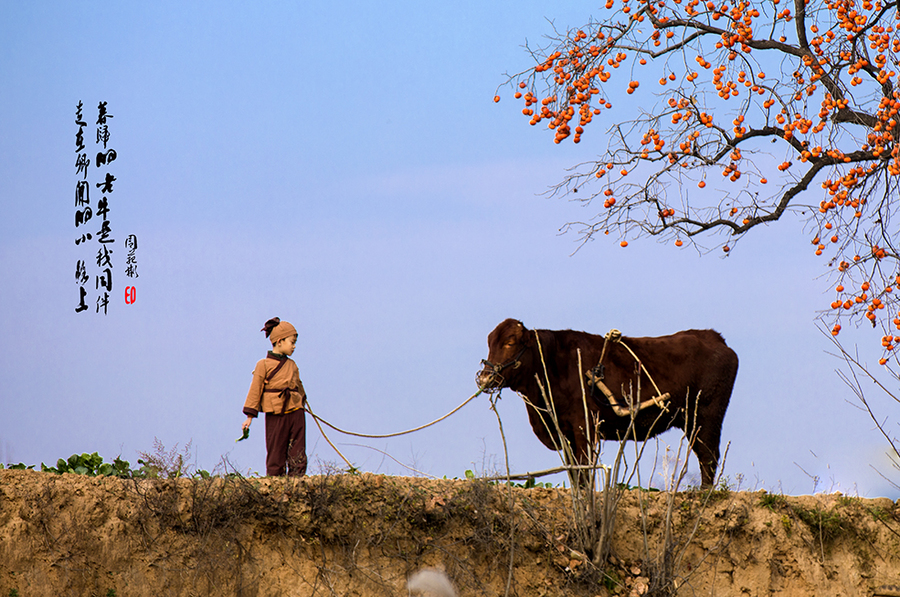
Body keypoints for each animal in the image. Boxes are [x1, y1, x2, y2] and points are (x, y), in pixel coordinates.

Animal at [478, 318, 740, 486]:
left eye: (510, 342)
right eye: (489, 342)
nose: (484, 377)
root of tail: (714, 336)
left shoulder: (584, 426)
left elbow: (585, 470)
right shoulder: (565, 434)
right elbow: (574, 473)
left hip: (706, 416)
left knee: (708, 458)